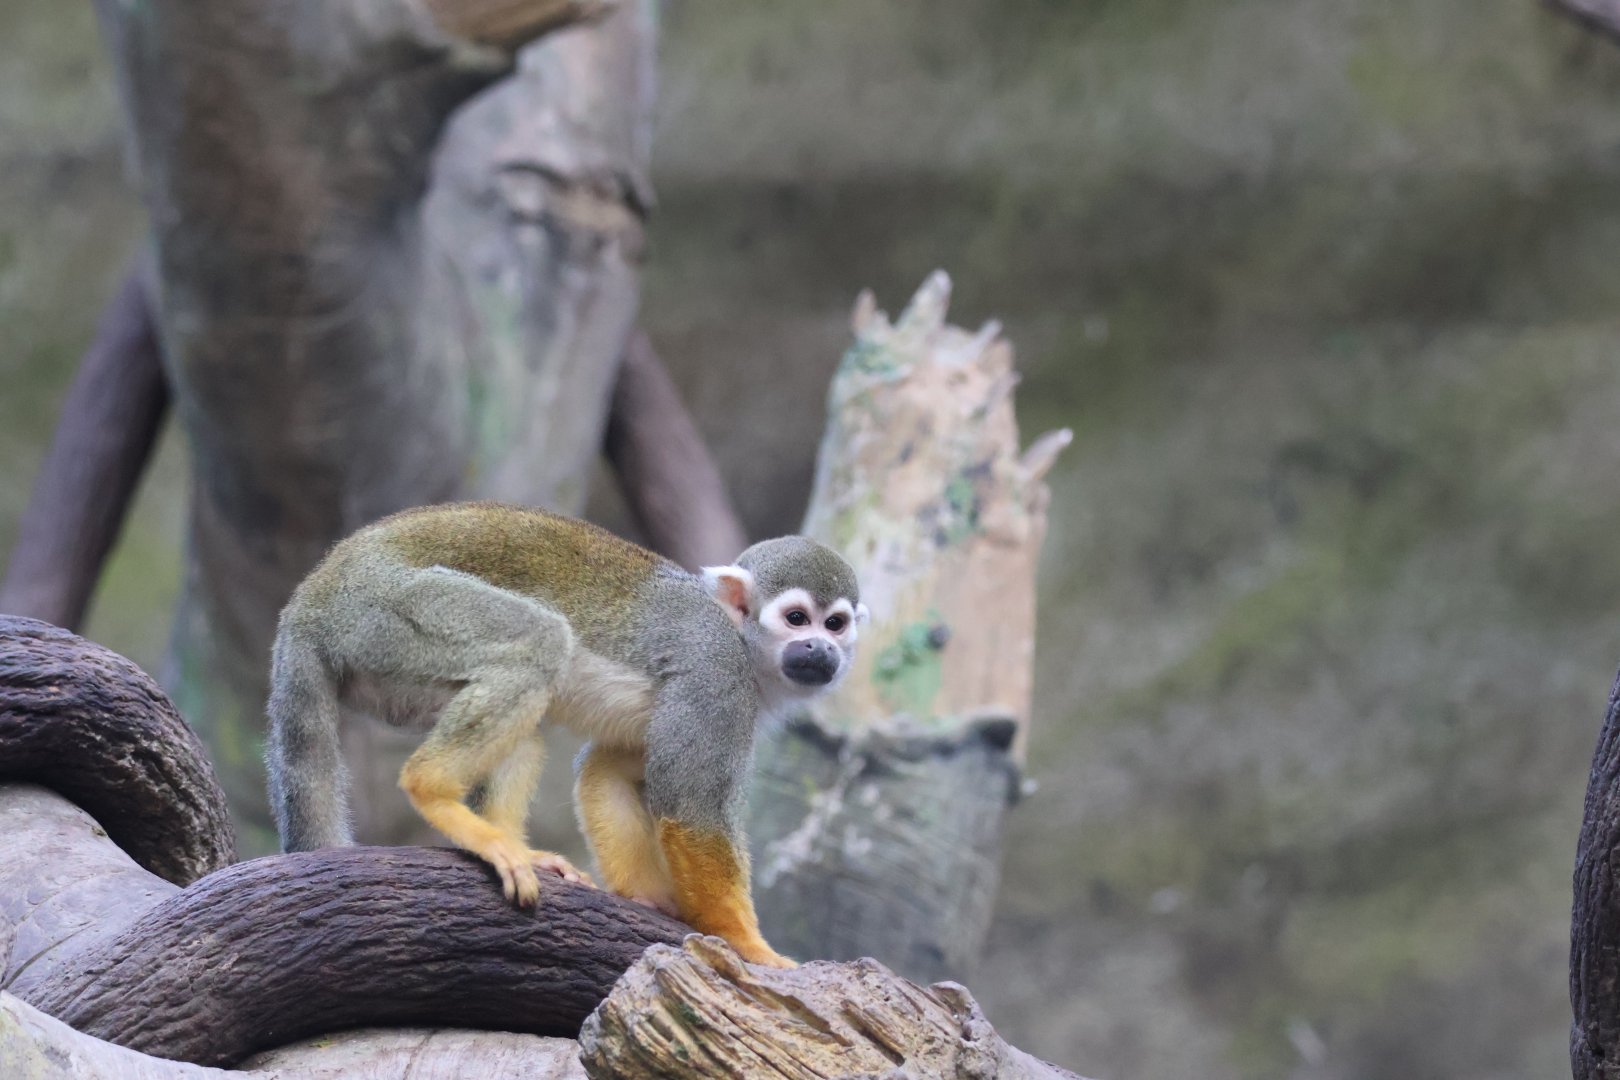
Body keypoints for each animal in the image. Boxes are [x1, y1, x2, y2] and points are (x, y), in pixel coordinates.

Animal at [264, 501, 865, 968]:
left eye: (835, 625)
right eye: (796, 619)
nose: (820, 649)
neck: (743, 643)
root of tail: (311, 595)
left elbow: (608, 772)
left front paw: (648, 899)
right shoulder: (716, 673)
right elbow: (690, 804)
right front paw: (749, 945)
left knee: (526, 716)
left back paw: (509, 843)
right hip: (389, 612)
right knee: (536, 641)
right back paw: (433, 790)